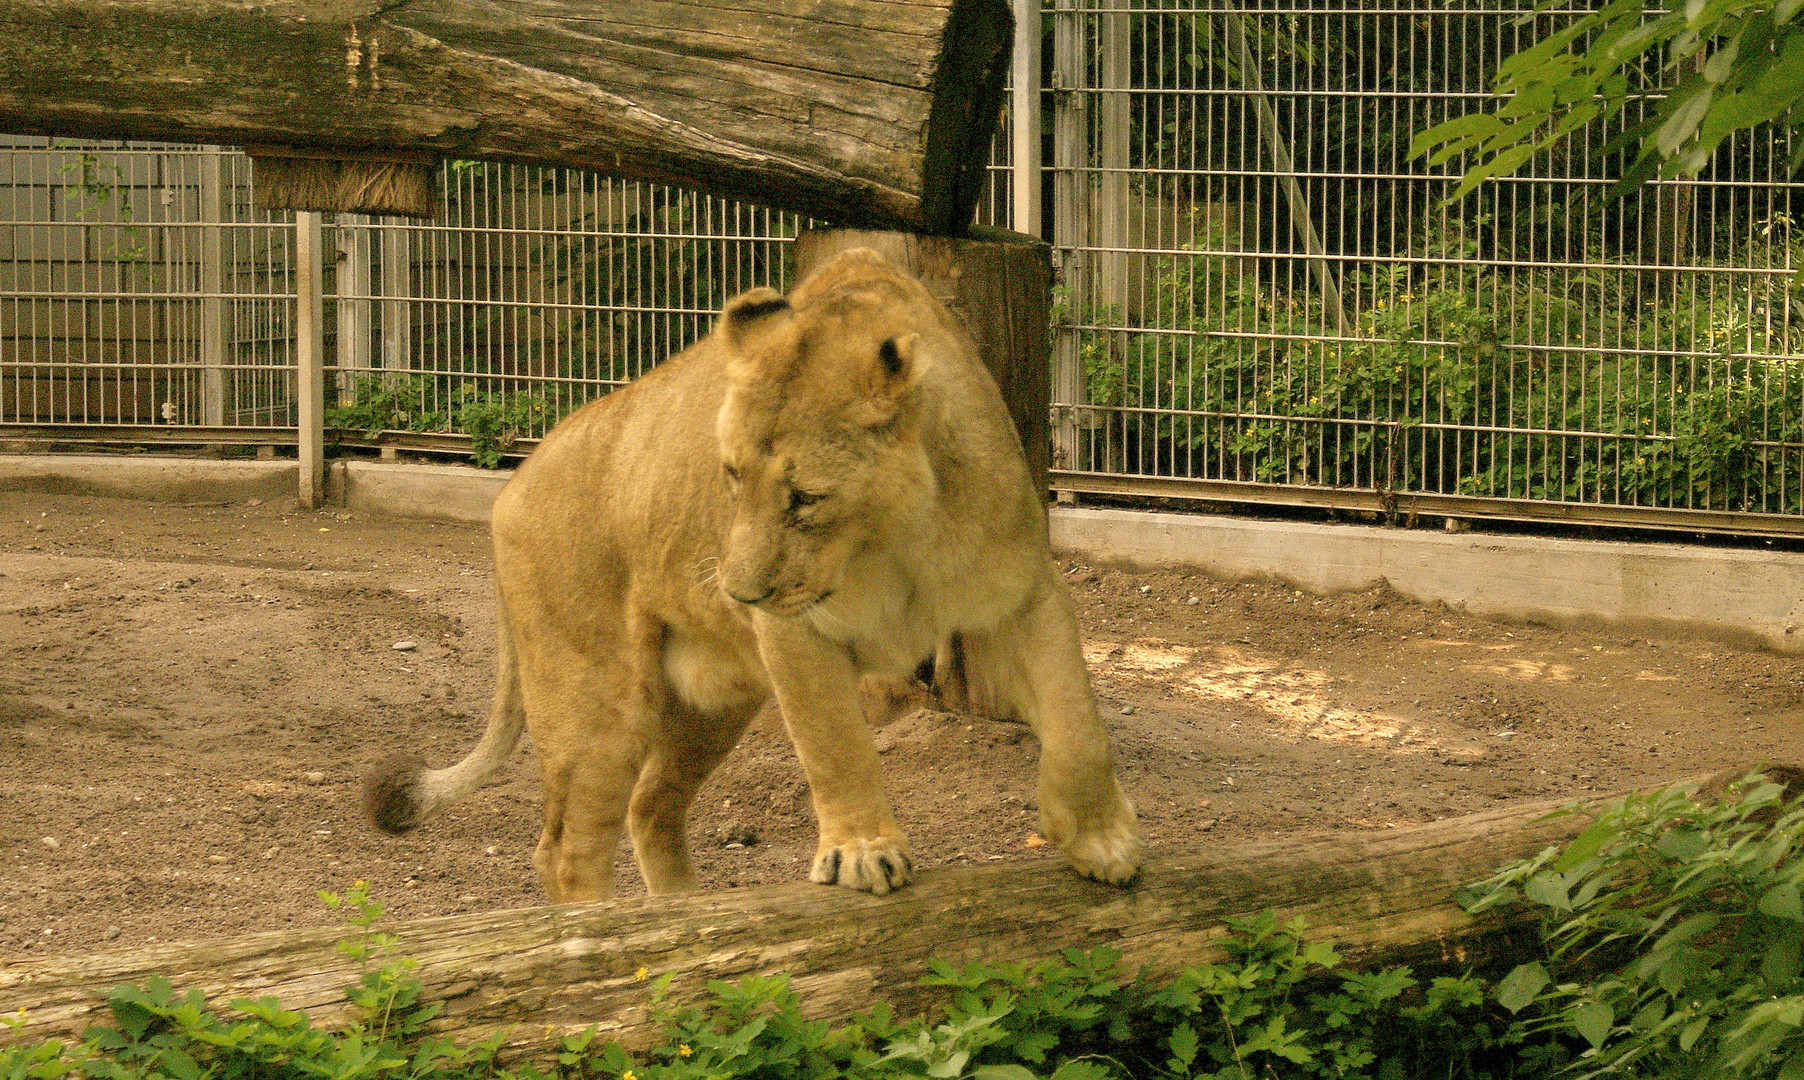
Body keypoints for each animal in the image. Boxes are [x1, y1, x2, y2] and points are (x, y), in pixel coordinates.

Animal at [364, 247, 1140, 905]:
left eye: (805, 498)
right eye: (731, 475)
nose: (738, 594)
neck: (896, 543)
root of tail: (511, 487)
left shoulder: (1021, 593)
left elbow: (1077, 719)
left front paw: (1102, 841)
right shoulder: (794, 631)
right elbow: (835, 741)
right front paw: (864, 852)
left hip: (710, 705)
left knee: (650, 807)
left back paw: (680, 912)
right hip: (597, 704)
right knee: (564, 850)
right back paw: (603, 933)